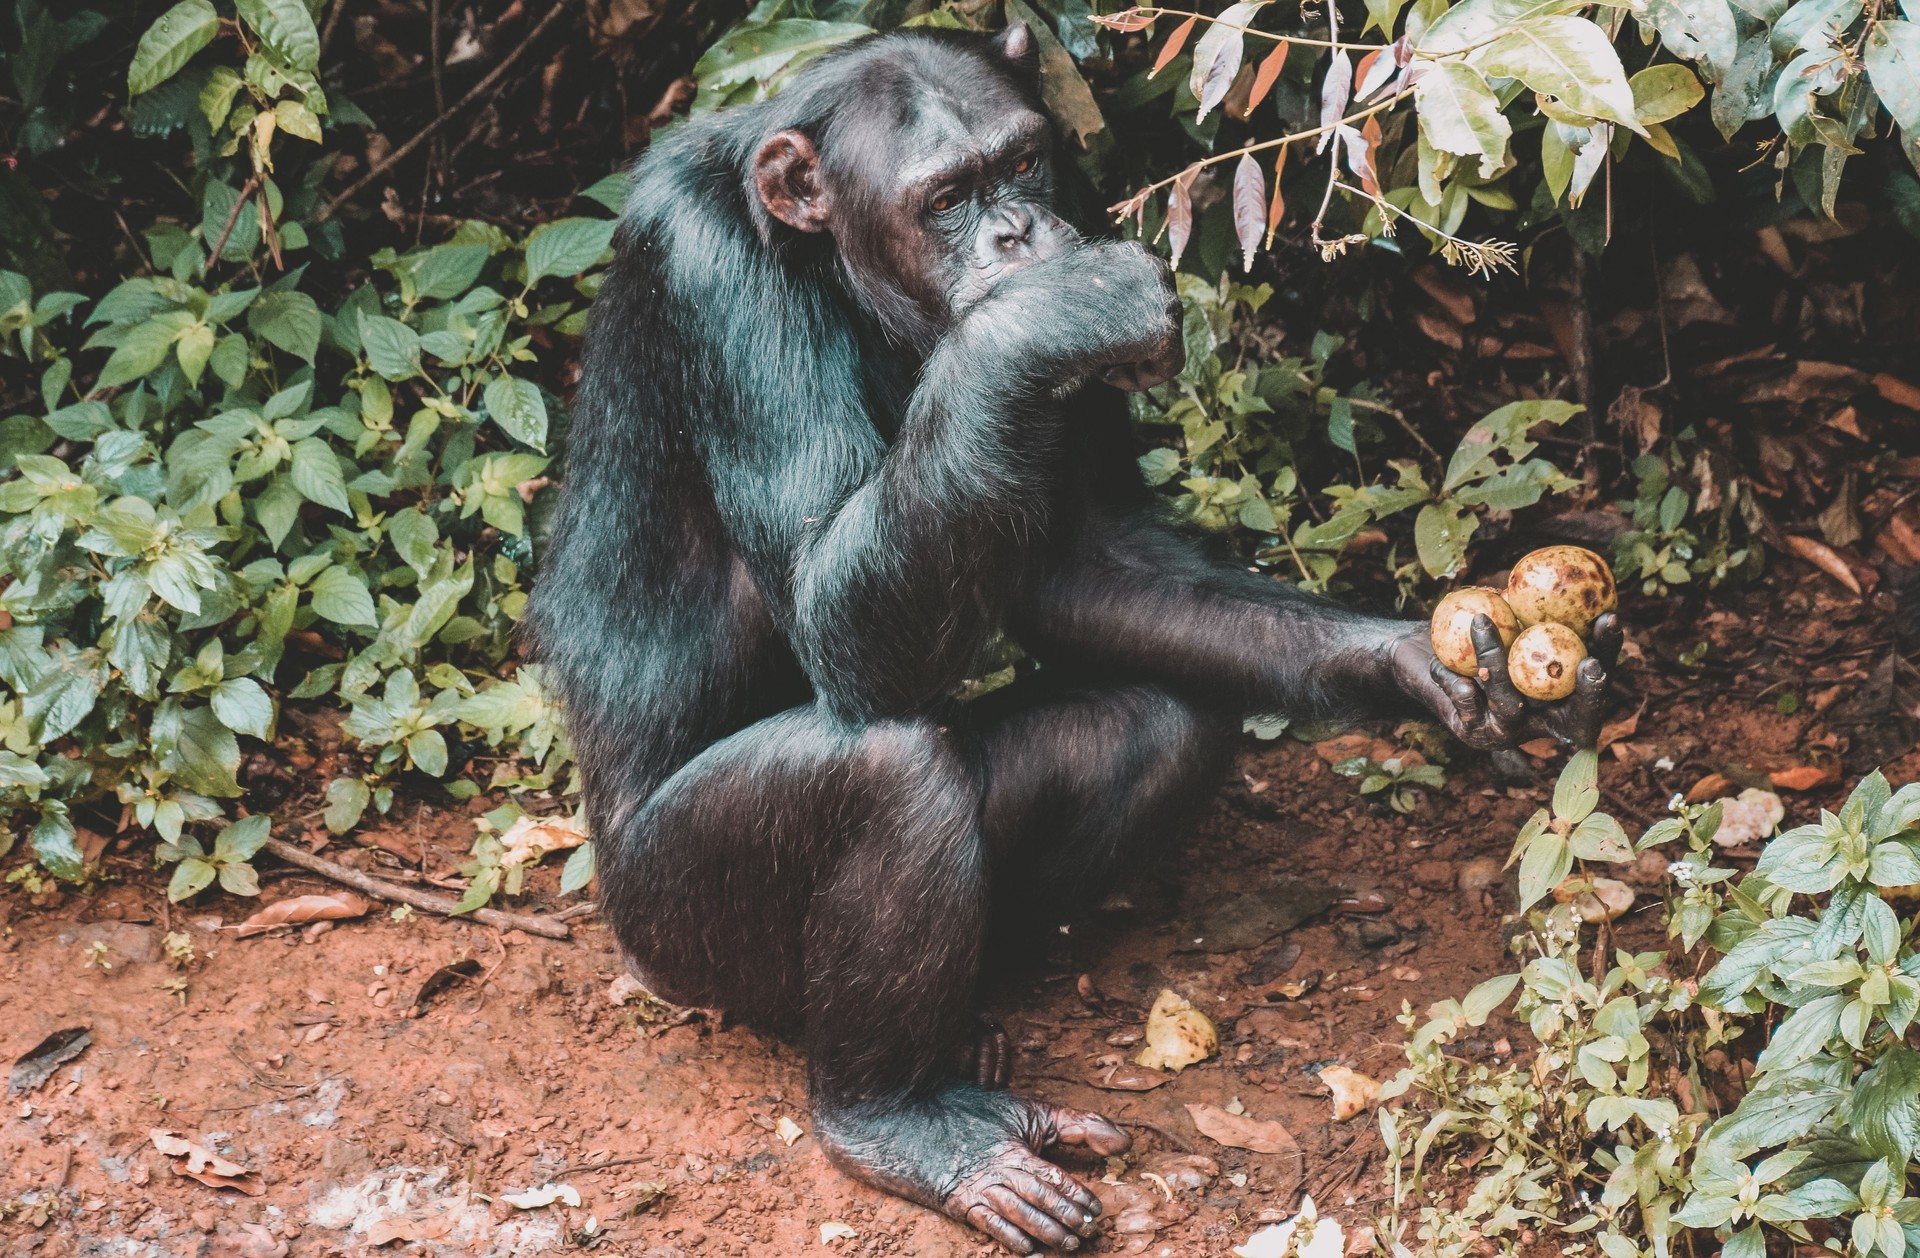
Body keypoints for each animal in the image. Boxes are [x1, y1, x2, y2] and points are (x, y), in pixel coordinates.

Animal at [529, 22, 1620, 1258]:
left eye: (1021, 166)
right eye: (948, 199)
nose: (1019, 235)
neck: (844, 271)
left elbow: (1083, 562)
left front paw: (1432, 669)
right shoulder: (709, 273)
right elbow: (828, 606)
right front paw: (1059, 305)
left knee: (1156, 724)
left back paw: (968, 1036)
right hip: (676, 930)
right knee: (885, 770)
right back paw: (899, 1121)